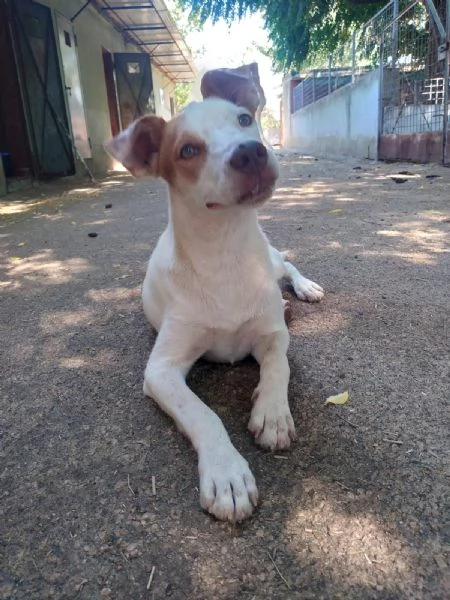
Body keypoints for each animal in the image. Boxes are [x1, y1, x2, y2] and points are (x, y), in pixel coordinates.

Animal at [104, 65, 324, 524]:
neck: (225, 253)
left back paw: (304, 288)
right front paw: (227, 473)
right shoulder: (162, 370)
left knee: (287, 261)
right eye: (188, 150)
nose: (251, 153)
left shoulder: (274, 335)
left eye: (243, 119)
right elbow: (202, 414)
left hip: (274, 260)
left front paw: (273, 414)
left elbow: (278, 367)